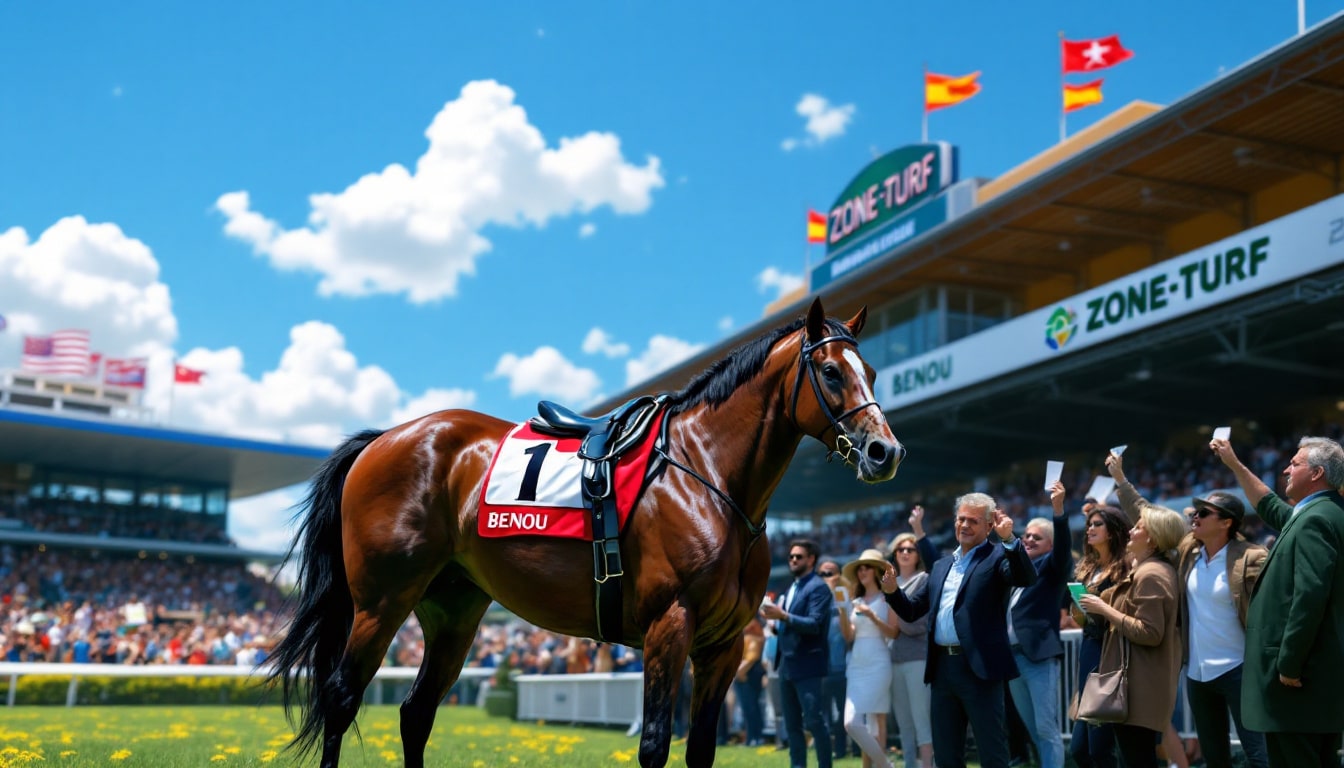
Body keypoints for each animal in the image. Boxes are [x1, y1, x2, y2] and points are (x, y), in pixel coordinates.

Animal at [267, 297, 903, 763]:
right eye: (830, 372)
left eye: (871, 371)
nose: (885, 451)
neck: (706, 473)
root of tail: (383, 439)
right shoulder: (669, 626)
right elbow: (654, 745)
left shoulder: (723, 645)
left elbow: (699, 750)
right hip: (380, 603)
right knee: (342, 697)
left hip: (454, 612)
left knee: (416, 713)